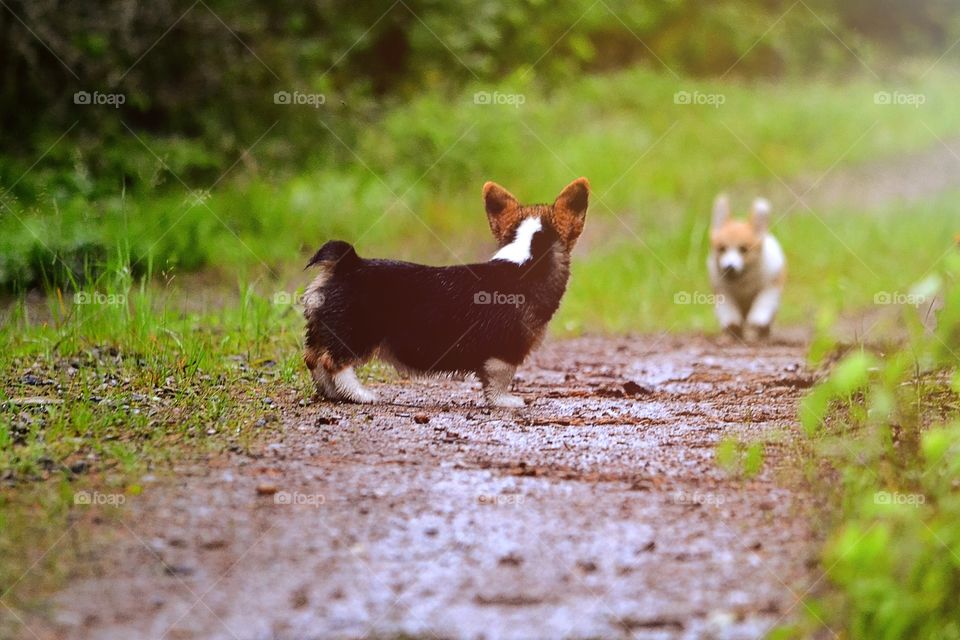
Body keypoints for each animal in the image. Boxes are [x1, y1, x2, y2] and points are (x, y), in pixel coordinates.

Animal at [300, 176, 588, 404]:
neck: (526, 256)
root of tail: (347, 264)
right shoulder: (506, 351)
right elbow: (500, 378)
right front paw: (505, 401)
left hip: (320, 331)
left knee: (313, 360)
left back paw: (333, 394)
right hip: (355, 334)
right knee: (333, 363)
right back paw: (360, 395)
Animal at [708, 195, 784, 340]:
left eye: (743, 249)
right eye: (722, 248)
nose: (729, 266)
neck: (742, 281)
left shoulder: (771, 285)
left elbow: (761, 306)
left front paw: (755, 326)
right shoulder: (722, 291)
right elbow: (729, 314)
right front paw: (731, 331)